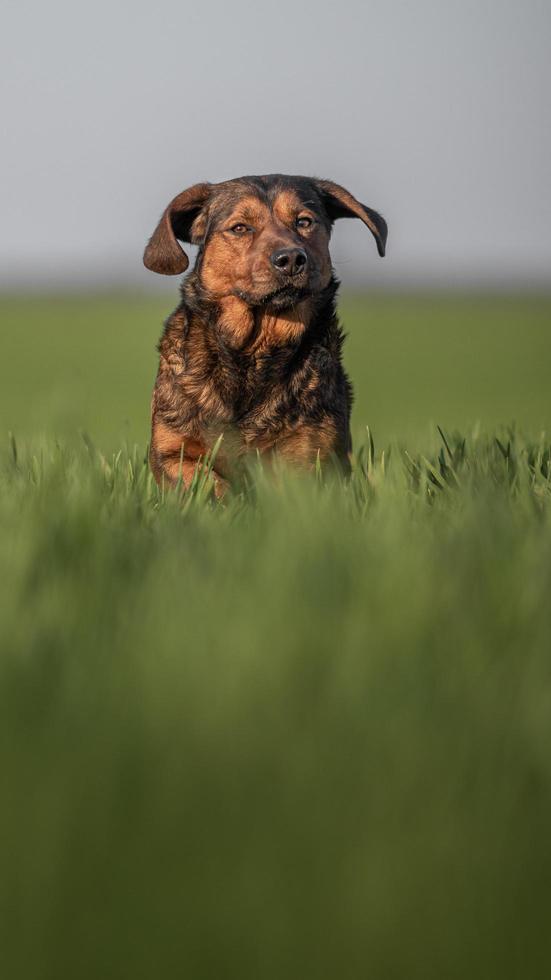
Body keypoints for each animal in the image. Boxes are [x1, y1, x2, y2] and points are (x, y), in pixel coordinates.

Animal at [144, 173, 386, 494]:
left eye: (304, 222)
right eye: (240, 228)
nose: (291, 258)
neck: (255, 350)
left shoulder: (310, 453)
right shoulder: (170, 449)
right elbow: (206, 482)